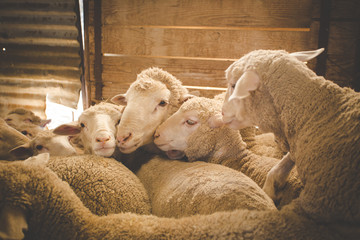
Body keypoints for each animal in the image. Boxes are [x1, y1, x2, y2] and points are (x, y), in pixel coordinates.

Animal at [221, 48, 358, 232]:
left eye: (234, 86)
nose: (222, 112)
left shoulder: (318, 202)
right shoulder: (297, 145)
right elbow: (276, 169)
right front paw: (269, 191)